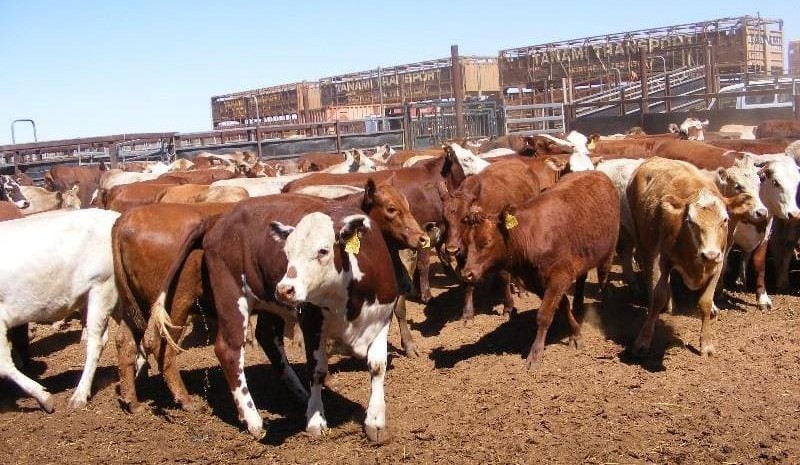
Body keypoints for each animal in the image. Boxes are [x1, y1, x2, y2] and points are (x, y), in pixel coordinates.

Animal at [460, 171, 620, 367]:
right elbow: (562, 306)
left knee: (603, 279)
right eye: (466, 241)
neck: (530, 234)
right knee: (581, 279)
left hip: (608, 254)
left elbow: (544, 314)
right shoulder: (538, 282)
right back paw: (579, 305)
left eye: (487, 242)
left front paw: (536, 352)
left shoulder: (558, 277)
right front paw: (575, 333)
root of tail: (598, 173)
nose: (467, 274)